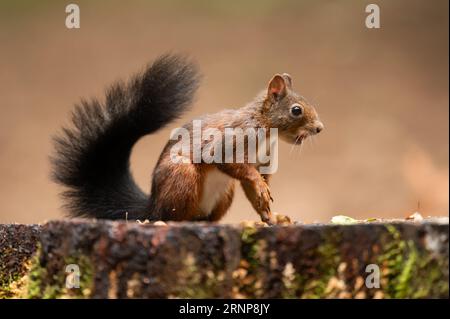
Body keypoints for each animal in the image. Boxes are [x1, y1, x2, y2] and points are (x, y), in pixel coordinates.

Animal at [51, 53, 322, 225]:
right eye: (296, 110)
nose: (320, 128)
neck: (264, 128)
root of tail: (152, 207)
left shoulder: (260, 159)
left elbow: (253, 189)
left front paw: (269, 215)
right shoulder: (231, 139)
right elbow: (230, 164)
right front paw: (260, 188)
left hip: (223, 193)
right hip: (182, 177)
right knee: (171, 217)